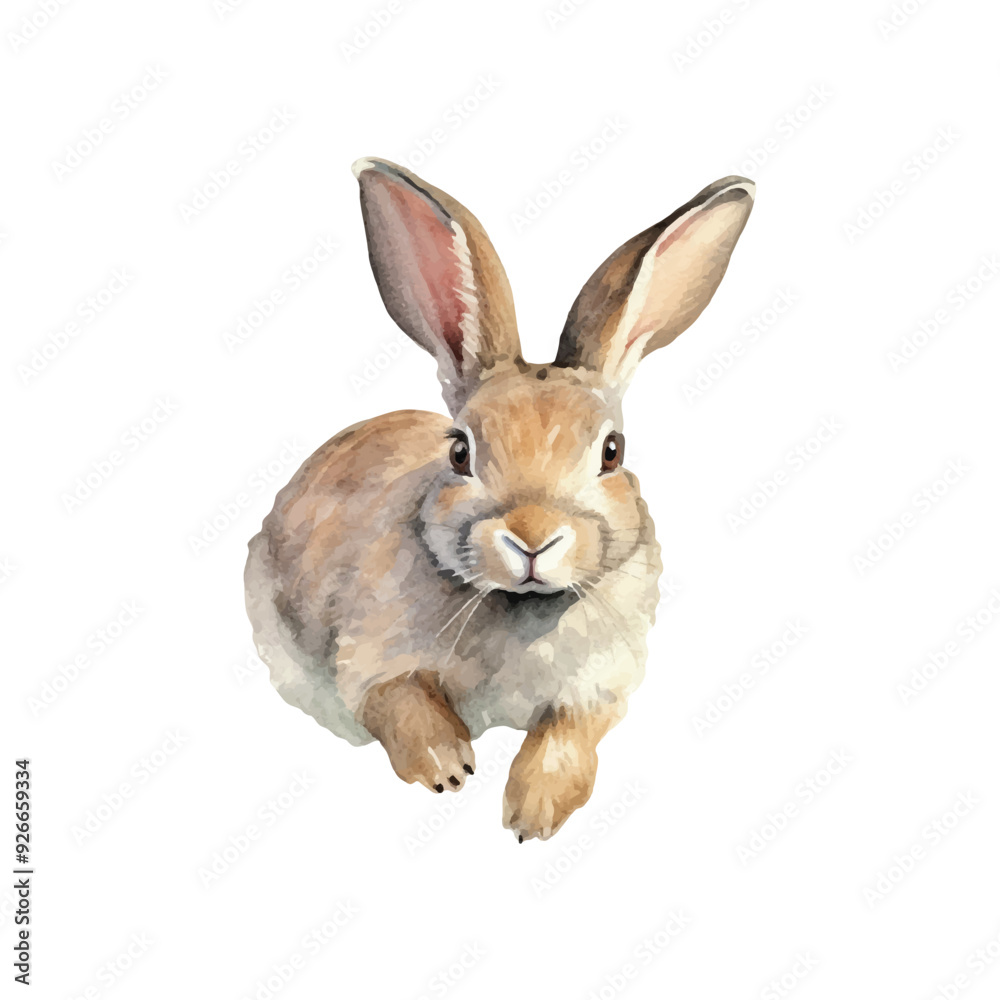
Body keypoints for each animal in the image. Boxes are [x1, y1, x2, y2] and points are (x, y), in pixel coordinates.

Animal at [244, 157, 755, 842]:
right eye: (460, 452)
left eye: (612, 451)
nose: (532, 537)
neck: (523, 607)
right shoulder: (372, 658)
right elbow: (398, 701)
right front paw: (449, 768)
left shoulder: (598, 687)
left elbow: (569, 737)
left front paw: (532, 814)